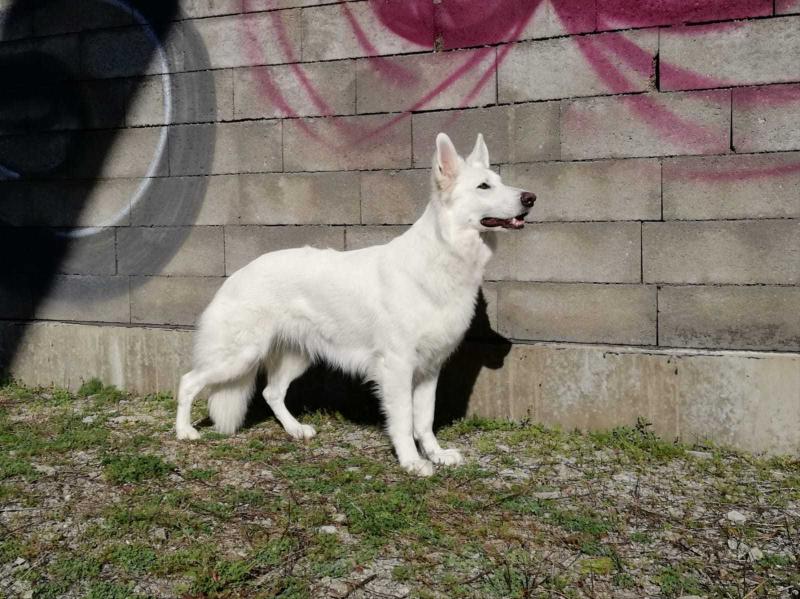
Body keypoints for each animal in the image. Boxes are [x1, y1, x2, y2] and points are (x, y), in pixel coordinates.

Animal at [175, 132, 536, 478]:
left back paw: (295, 430)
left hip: (296, 357)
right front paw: (411, 462)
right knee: (188, 381)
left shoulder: (430, 369)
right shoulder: (397, 367)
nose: (531, 198)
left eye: (500, 181)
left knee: (271, 393)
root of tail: (237, 273)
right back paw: (184, 432)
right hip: (239, 356)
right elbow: (405, 420)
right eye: (484, 186)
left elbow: (425, 420)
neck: (442, 256)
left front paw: (435, 454)